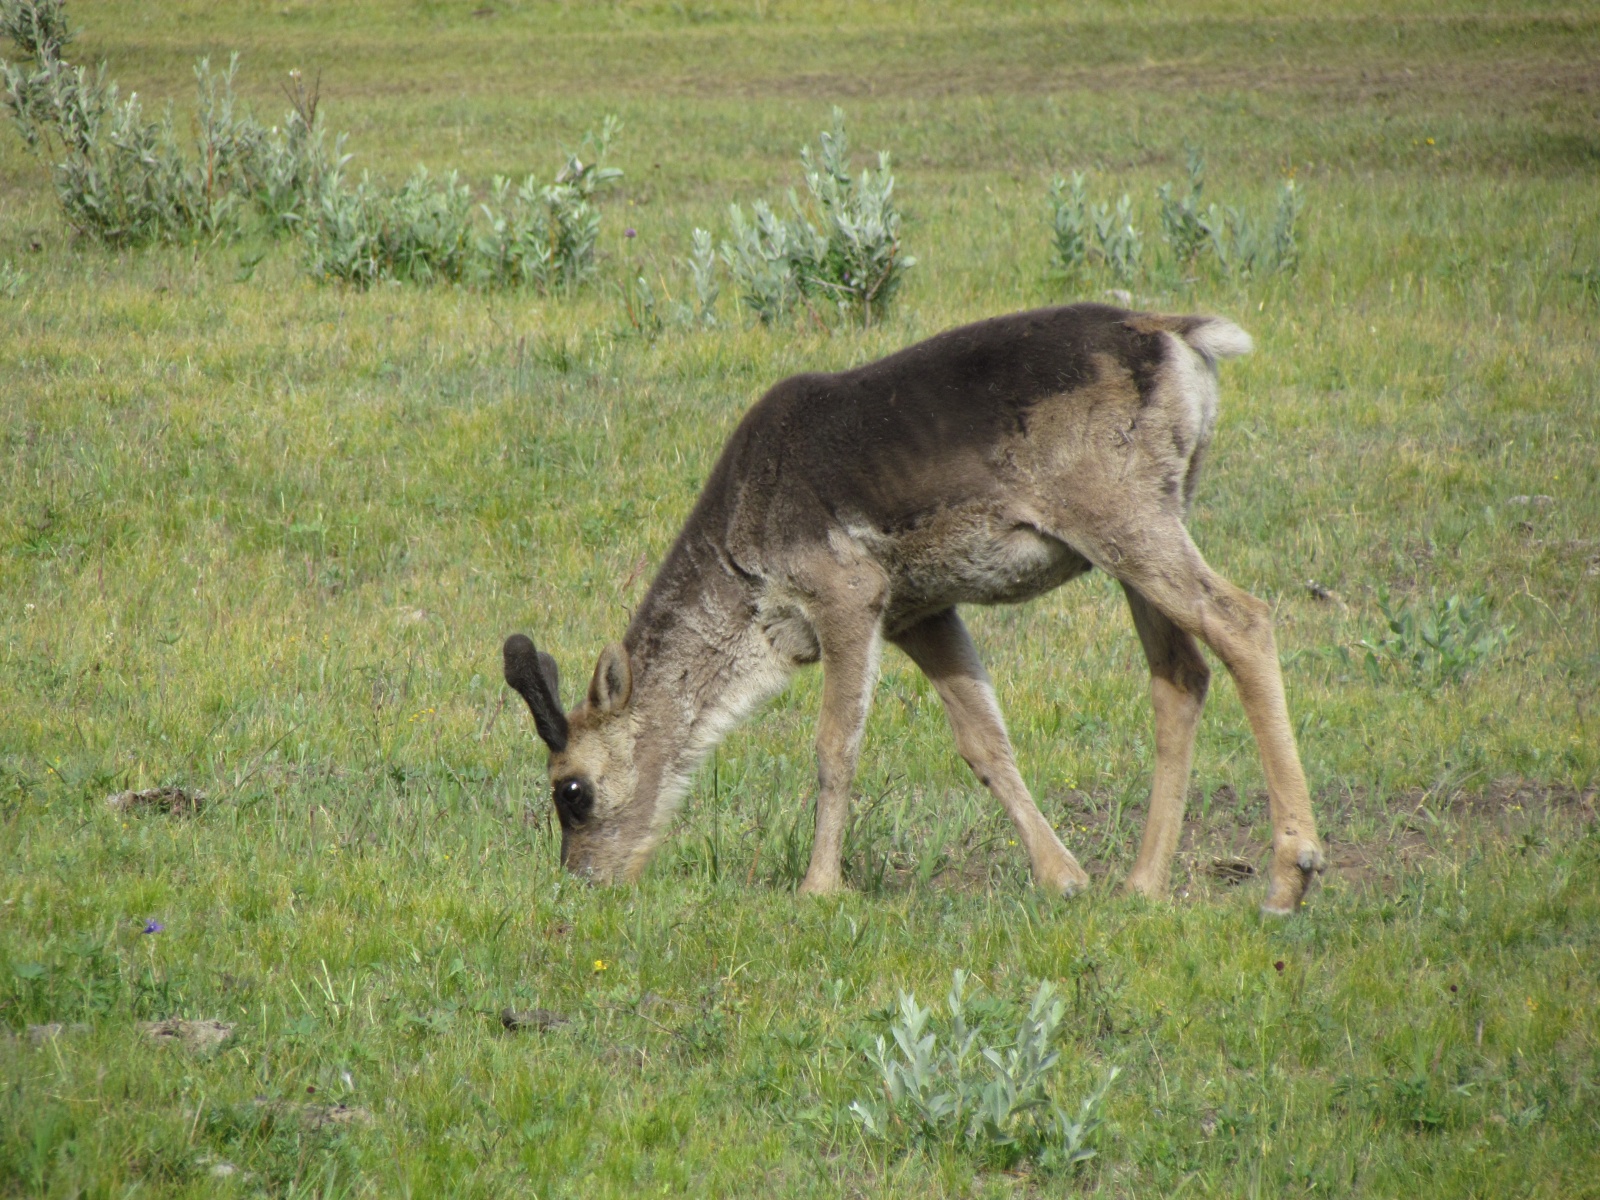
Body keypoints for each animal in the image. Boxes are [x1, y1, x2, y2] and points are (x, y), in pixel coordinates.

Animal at [503, 303, 1326, 913]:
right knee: (1179, 673)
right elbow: (984, 743)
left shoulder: (847, 590)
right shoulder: (918, 612)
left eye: (571, 791)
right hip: (1148, 520)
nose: (582, 880)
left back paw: (1290, 875)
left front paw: (818, 888)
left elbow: (835, 745)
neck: (749, 586)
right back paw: (1141, 884)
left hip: (1122, 514)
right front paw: (1063, 876)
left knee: (1243, 619)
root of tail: (1185, 339)